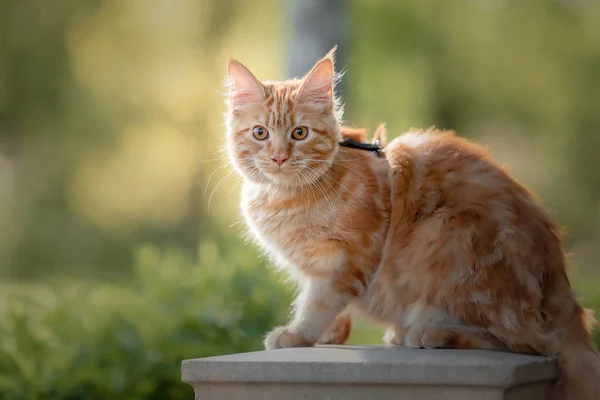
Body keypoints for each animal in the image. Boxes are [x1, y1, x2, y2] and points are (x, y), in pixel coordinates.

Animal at [224, 48, 600, 398]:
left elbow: (318, 303)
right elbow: (329, 307)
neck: (287, 197)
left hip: (446, 235)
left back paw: (430, 332)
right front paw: (331, 334)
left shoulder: (349, 258)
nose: (279, 157)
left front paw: (298, 334)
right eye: (260, 133)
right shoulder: (320, 265)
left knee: (525, 342)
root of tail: (560, 287)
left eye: (300, 133)